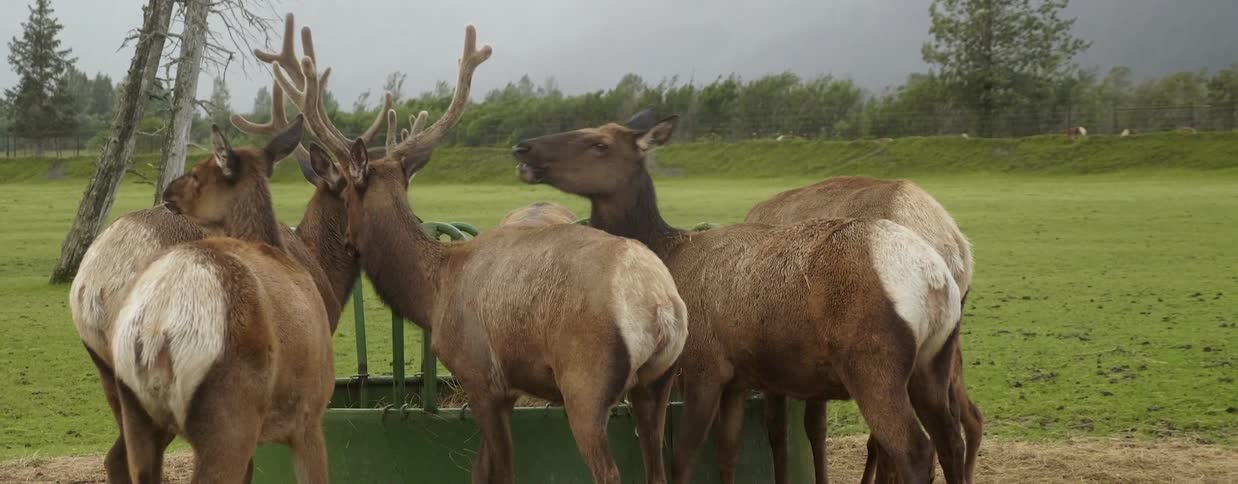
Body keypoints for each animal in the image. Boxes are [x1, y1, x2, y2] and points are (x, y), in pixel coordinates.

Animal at [272, 23, 688, 484]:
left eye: (344, 192)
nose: (344, 241)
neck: (433, 291)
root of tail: (660, 305)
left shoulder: (480, 376)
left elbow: (501, 471)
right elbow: (478, 470)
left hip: (586, 383)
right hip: (657, 384)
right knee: (657, 467)